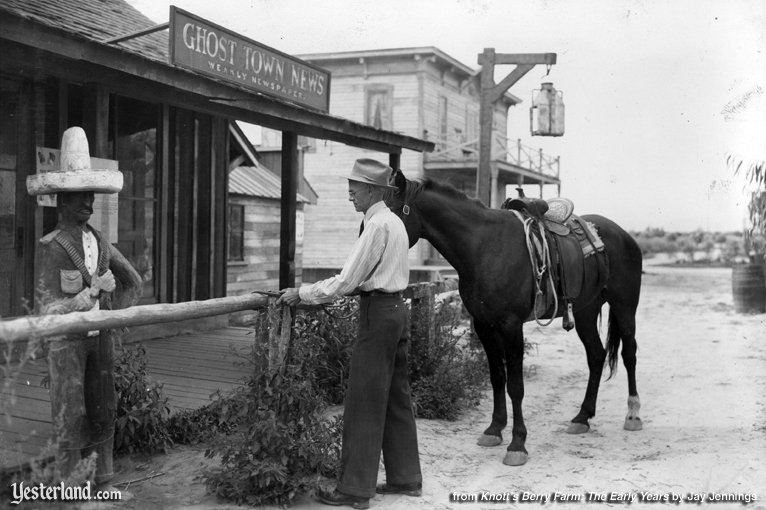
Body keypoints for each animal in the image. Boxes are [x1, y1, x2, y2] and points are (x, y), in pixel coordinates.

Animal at [388, 171, 644, 466]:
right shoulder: (484, 325)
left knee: (629, 354)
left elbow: (516, 386)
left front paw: (517, 444)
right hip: (585, 312)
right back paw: (582, 417)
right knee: (597, 356)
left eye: (390, 209)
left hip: (624, 306)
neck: (484, 248)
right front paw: (494, 429)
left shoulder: (511, 326)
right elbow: (497, 377)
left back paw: (633, 414)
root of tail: (624, 235)